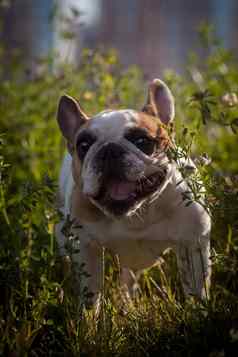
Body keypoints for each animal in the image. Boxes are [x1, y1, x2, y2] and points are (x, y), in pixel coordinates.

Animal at [54, 78, 211, 300]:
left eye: (141, 141)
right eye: (84, 145)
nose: (109, 149)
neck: (136, 215)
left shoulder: (193, 243)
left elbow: (197, 291)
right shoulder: (85, 249)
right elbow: (91, 296)